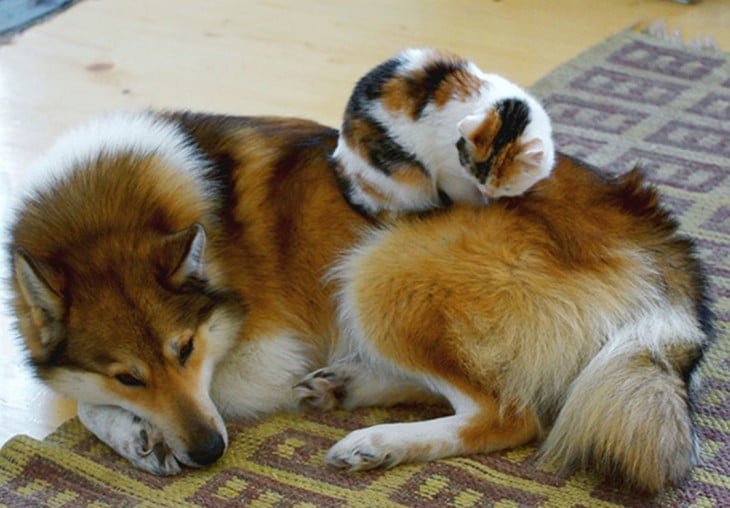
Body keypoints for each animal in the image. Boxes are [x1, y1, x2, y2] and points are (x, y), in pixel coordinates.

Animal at [8, 110, 708, 492]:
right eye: (128, 374)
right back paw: (348, 388)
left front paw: (134, 433)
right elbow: (88, 396)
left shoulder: (259, 361)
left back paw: (378, 443)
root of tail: (642, 218)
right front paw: (137, 435)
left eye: (185, 349)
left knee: (509, 414)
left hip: (378, 271)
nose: (209, 454)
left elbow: (90, 403)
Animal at [334, 46, 552, 215]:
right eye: (476, 179)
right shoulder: (450, 174)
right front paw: (482, 206)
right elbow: (467, 196)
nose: (487, 193)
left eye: (507, 187)